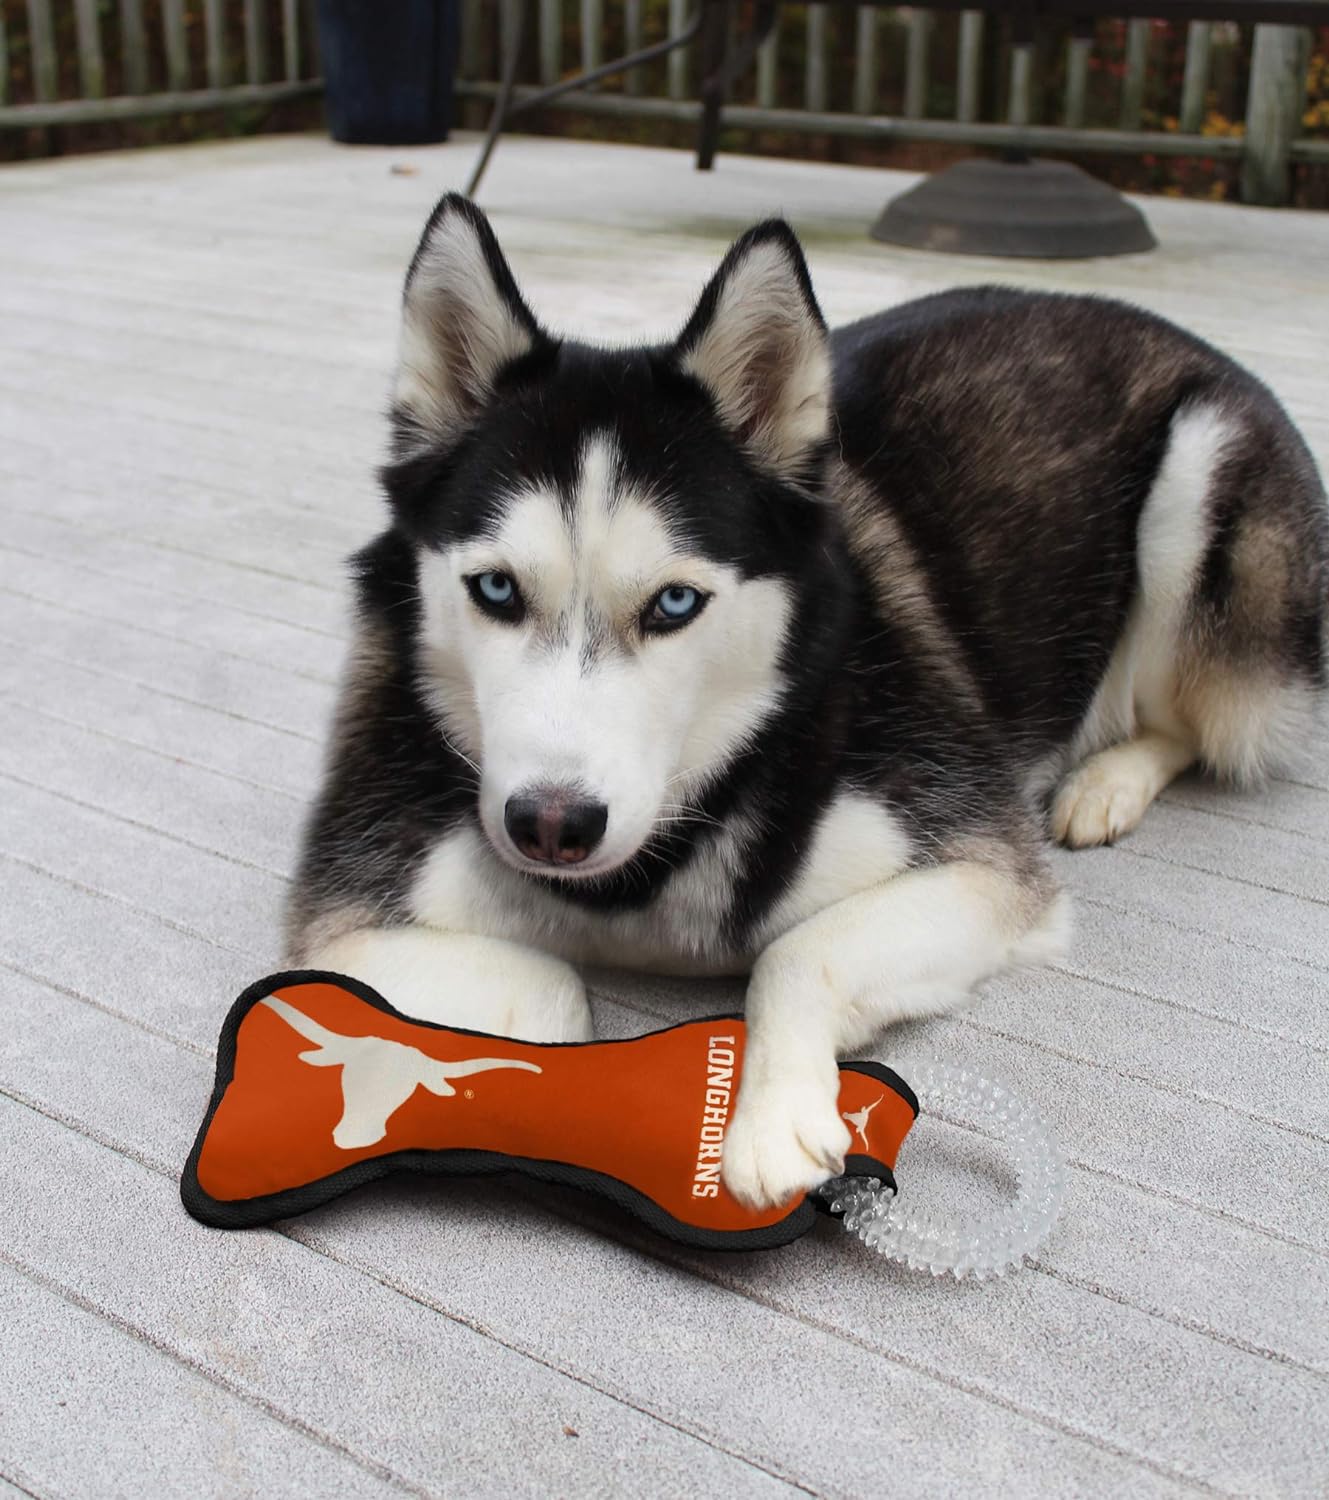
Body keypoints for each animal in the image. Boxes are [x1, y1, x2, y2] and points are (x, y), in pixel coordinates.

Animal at [286, 193, 1326, 1212]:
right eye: (497, 589)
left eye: (674, 604)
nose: (550, 824)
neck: (649, 868)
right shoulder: (346, 915)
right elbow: (546, 989)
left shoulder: (984, 867)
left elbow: (796, 951)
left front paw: (771, 1119)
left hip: (1204, 479)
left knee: (1196, 720)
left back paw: (1107, 781)